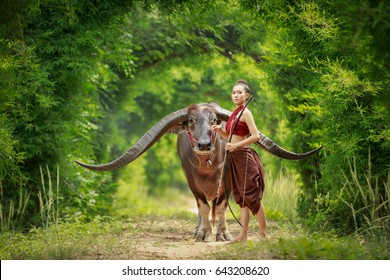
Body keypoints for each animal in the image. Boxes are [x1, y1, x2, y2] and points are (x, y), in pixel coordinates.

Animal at [74, 101, 322, 242]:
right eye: (191, 120)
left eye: (213, 120)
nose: (204, 144)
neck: (207, 166)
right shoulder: (191, 182)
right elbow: (202, 206)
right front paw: (203, 233)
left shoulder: (227, 181)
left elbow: (220, 207)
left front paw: (222, 233)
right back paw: (198, 228)